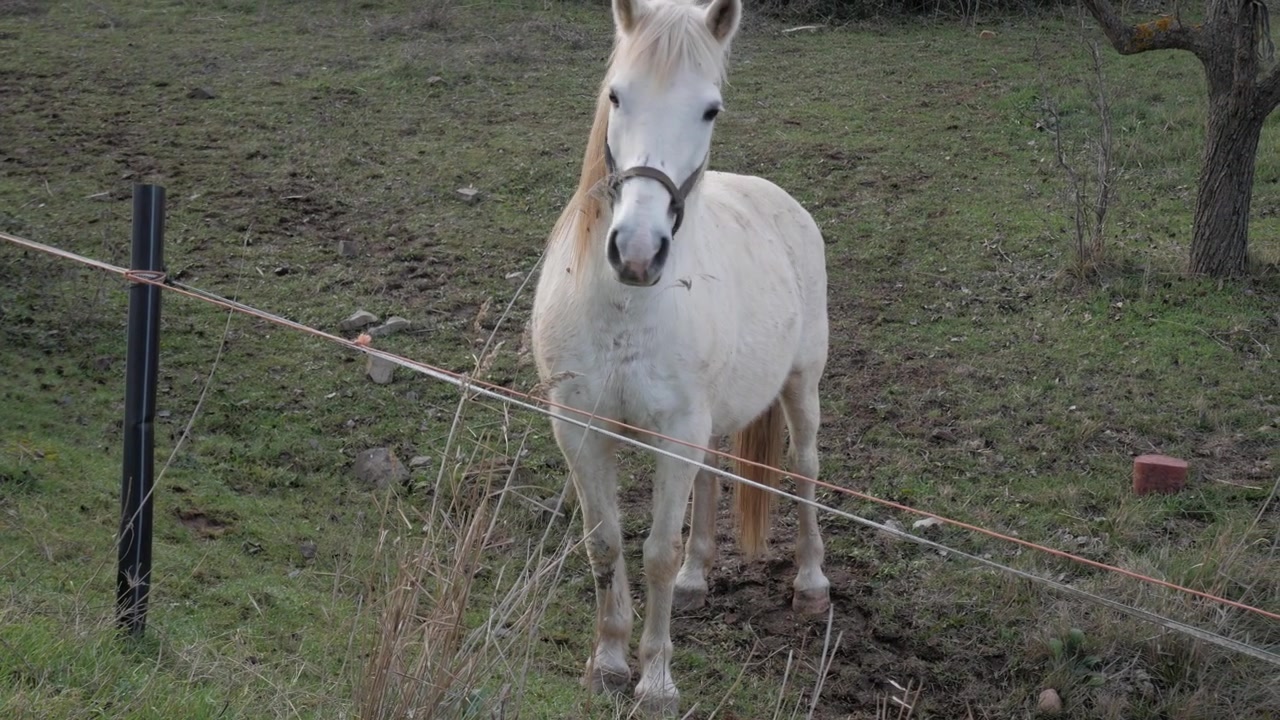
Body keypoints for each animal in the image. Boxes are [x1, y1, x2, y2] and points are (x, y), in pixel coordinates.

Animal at [529, 0, 831, 712]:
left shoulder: (677, 430)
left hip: (801, 384)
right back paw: (699, 578)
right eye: (617, 94)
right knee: (710, 476)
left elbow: (657, 552)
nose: (637, 252)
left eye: (710, 110)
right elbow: (604, 542)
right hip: (710, 422)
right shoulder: (579, 427)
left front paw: (657, 681)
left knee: (804, 470)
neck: (627, 311)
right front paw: (608, 662)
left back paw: (810, 583)